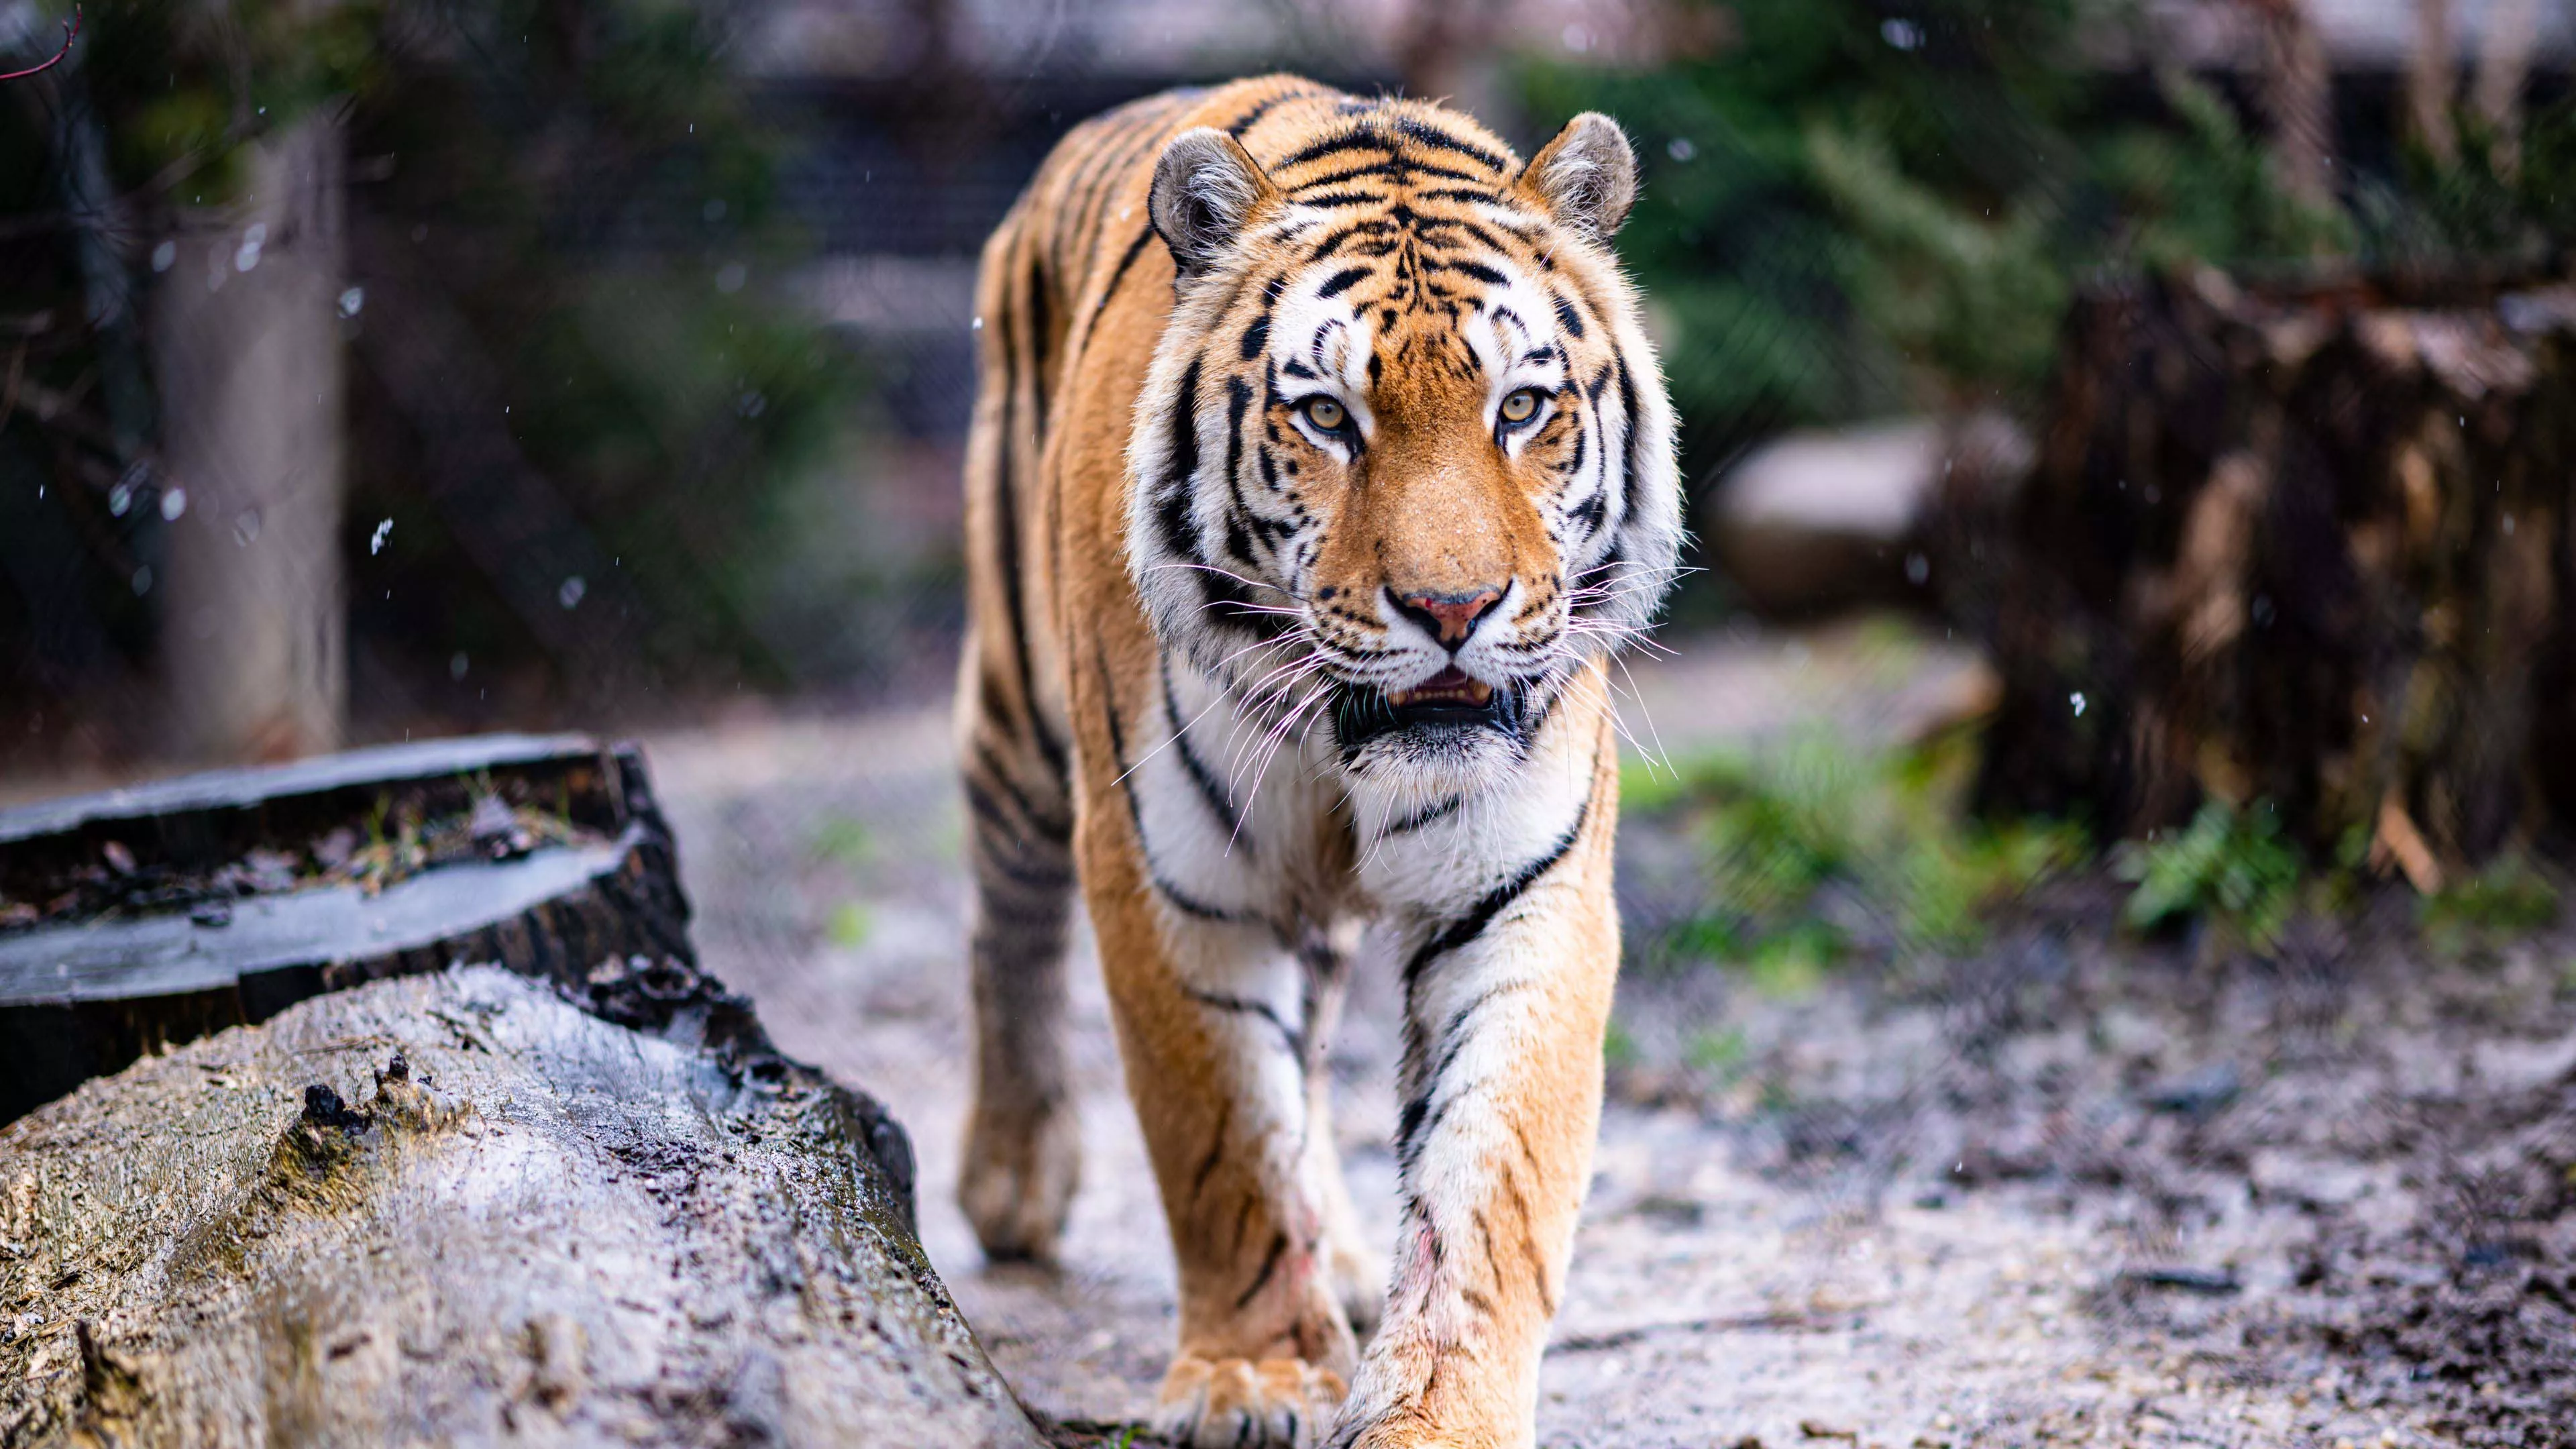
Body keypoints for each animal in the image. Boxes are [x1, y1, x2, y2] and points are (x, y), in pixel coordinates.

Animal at [950, 75, 1680, 1449]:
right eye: (1330, 417)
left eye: (1521, 408)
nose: (1454, 609)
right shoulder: (1171, 879)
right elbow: (1223, 1134)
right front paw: (1252, 1377)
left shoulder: (1528, 889)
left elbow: (1491, 1179)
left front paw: (1439, 1410)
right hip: (1017, 705)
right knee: (1004, 910)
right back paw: (1012, 1179)